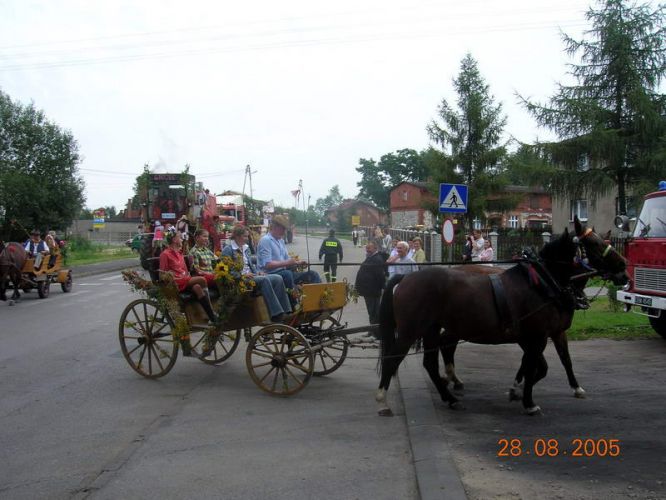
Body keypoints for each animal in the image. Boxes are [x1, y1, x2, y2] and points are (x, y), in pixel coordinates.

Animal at [376, 217, 624, 416]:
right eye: (593, 244)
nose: (623, 267)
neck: (543, 283)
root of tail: (407, 278)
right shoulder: (537, 337)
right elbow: (533, 367)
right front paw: (528, 402)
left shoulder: (548, 334)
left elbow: (557, 361)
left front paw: (523, 390)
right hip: (411, 330)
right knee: (393, 358)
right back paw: (383, 400)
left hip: (432, 329)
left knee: (430, 362)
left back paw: (450, 397)